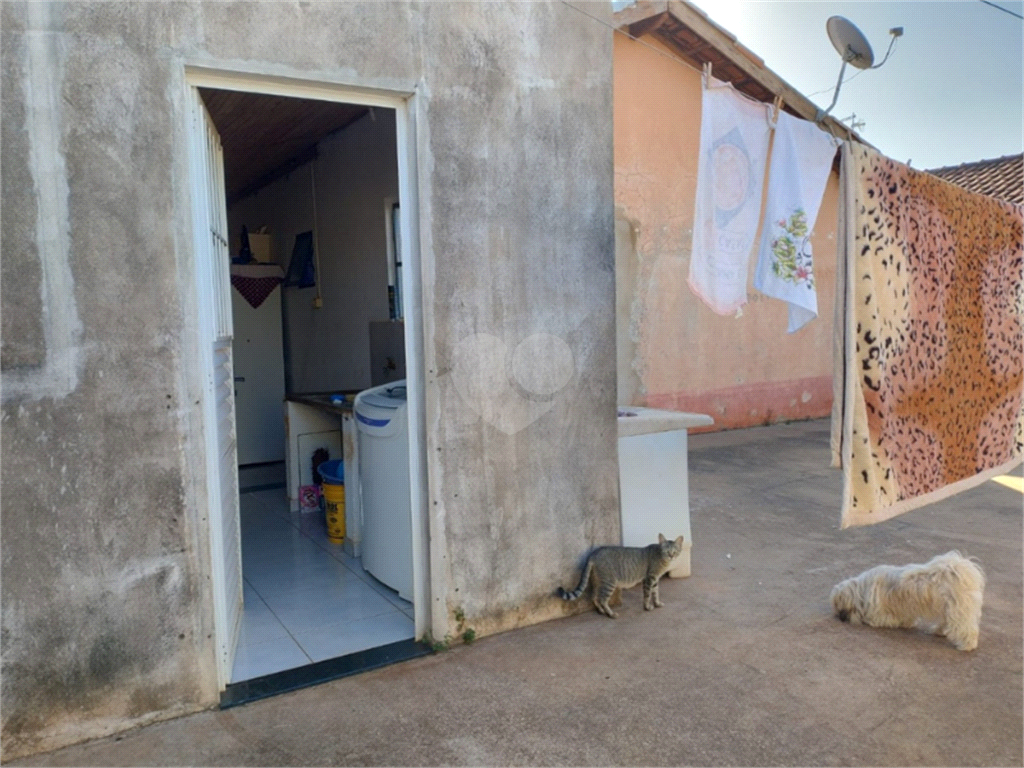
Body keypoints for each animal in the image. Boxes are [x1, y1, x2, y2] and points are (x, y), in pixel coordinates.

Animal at [831, 548, 983, 651]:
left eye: (838, 606)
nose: (840, 618)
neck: (862, 589)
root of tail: (958, 567)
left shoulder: (879, 612)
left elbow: (879, 619)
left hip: (958, 609)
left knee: (966, 627)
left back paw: (967, 645)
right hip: (947, 608)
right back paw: (937, 631)